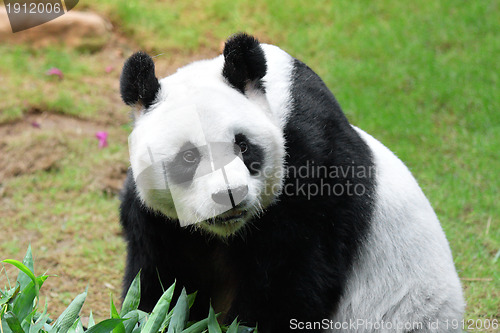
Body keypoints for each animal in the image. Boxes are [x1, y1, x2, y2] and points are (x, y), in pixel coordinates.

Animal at [118, 32, 464, 330]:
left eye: (243, 146)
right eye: (189, 157)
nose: (230, 194)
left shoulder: (315, 179)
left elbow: (289, 285)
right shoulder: (160, 223)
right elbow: (160, 283)